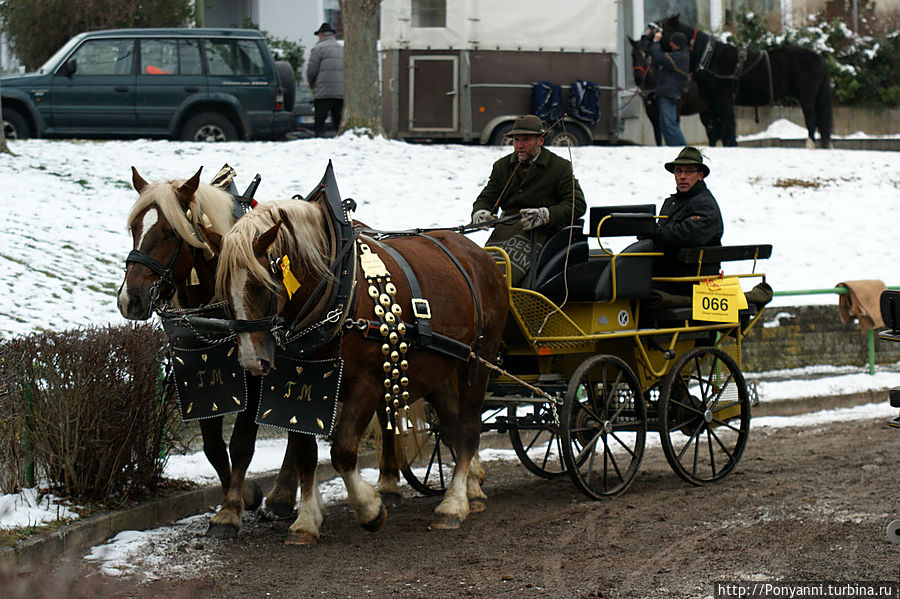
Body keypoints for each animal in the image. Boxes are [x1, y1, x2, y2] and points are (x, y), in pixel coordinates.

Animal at [656, 14, 832, 148]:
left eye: (661, 27)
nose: (647, 34)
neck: (711, 59)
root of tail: (820, 59)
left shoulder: (724, 100)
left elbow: (728, 125)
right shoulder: (712, 104)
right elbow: (719, 129)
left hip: (807, 96)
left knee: (812, 119)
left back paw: (809, 145)